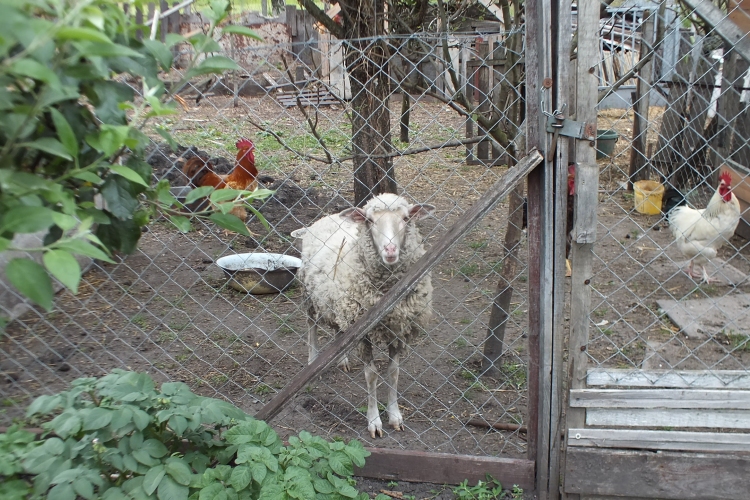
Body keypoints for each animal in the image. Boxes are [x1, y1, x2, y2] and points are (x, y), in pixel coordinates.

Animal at [294, 193, 434, 440]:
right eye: (369, 221)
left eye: (406, 218)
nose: (390, 250)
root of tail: (328, 216)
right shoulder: (363, 334)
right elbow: (372, 376)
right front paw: (374, 421)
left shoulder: (398, 329)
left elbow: (393, 373)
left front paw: (395, 416)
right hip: (309, 295)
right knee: (311, 324)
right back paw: (313, 359)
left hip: (340, 305)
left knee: (338, 329)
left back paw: (342, 359)